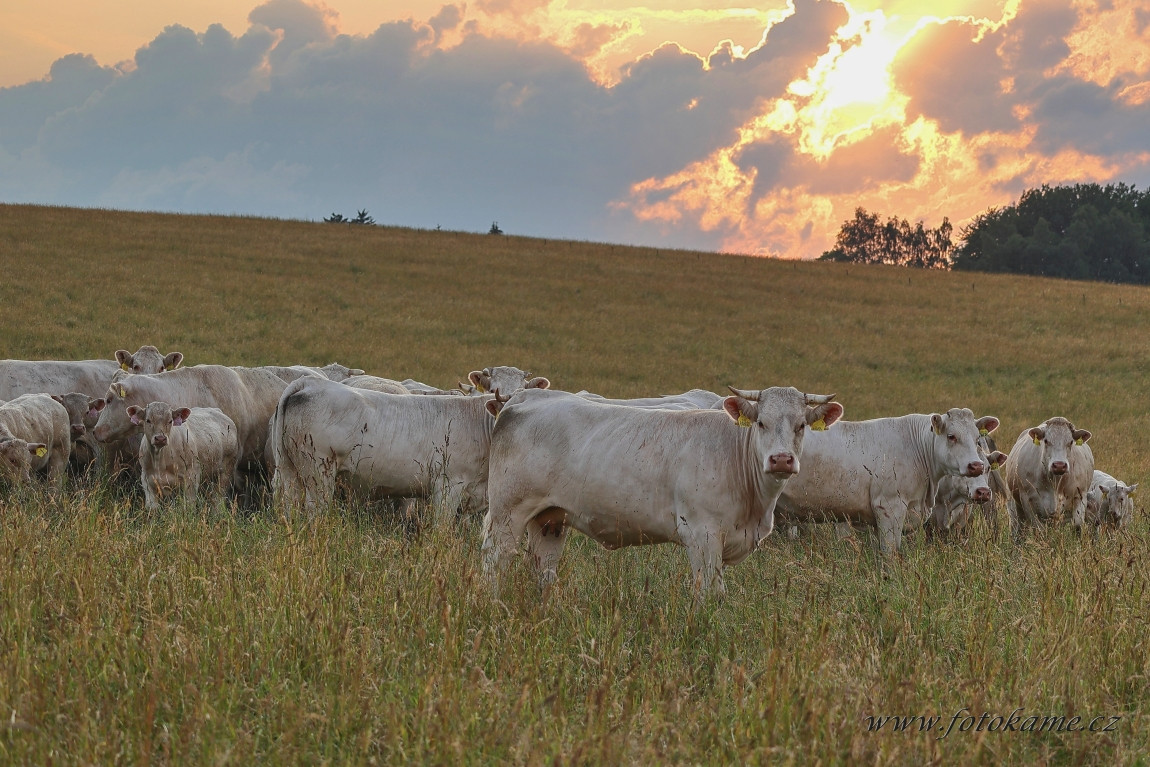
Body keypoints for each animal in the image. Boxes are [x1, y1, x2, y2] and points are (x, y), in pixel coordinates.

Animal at [480, 384, 841, 597]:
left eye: (801, 425)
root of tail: (523, 398)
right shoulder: (702, 535)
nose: (781, 459)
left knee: (544, 569)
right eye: (761, 423)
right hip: (506, 512)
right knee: (495, 561)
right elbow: (708, 592)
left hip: (549, 519)